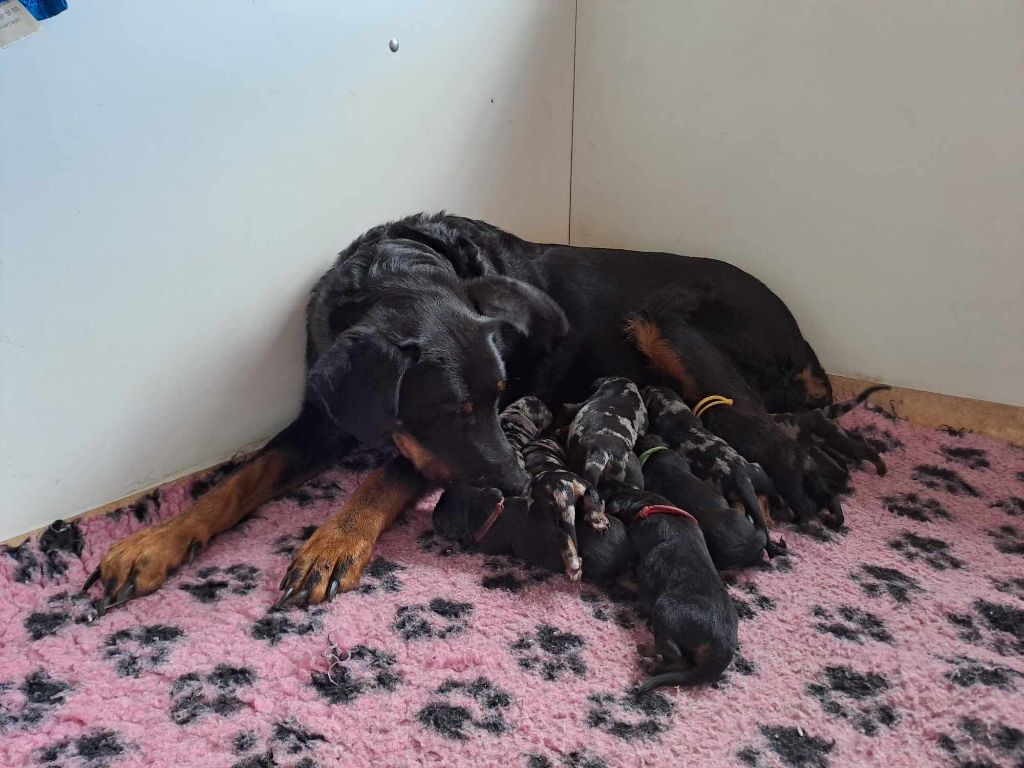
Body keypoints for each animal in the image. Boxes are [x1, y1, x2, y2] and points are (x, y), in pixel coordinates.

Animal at [602, 487, 741, 692]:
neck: (651, 506)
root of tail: (723, 646)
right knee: (684, 661)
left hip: (666, 607)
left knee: (674, 652)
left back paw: (649, 655)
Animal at [643, 385, 778, 540]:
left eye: (648, 390)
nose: (646, 386)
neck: (673, 411)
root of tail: (741, 476)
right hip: (759, 471)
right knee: (763, 497)